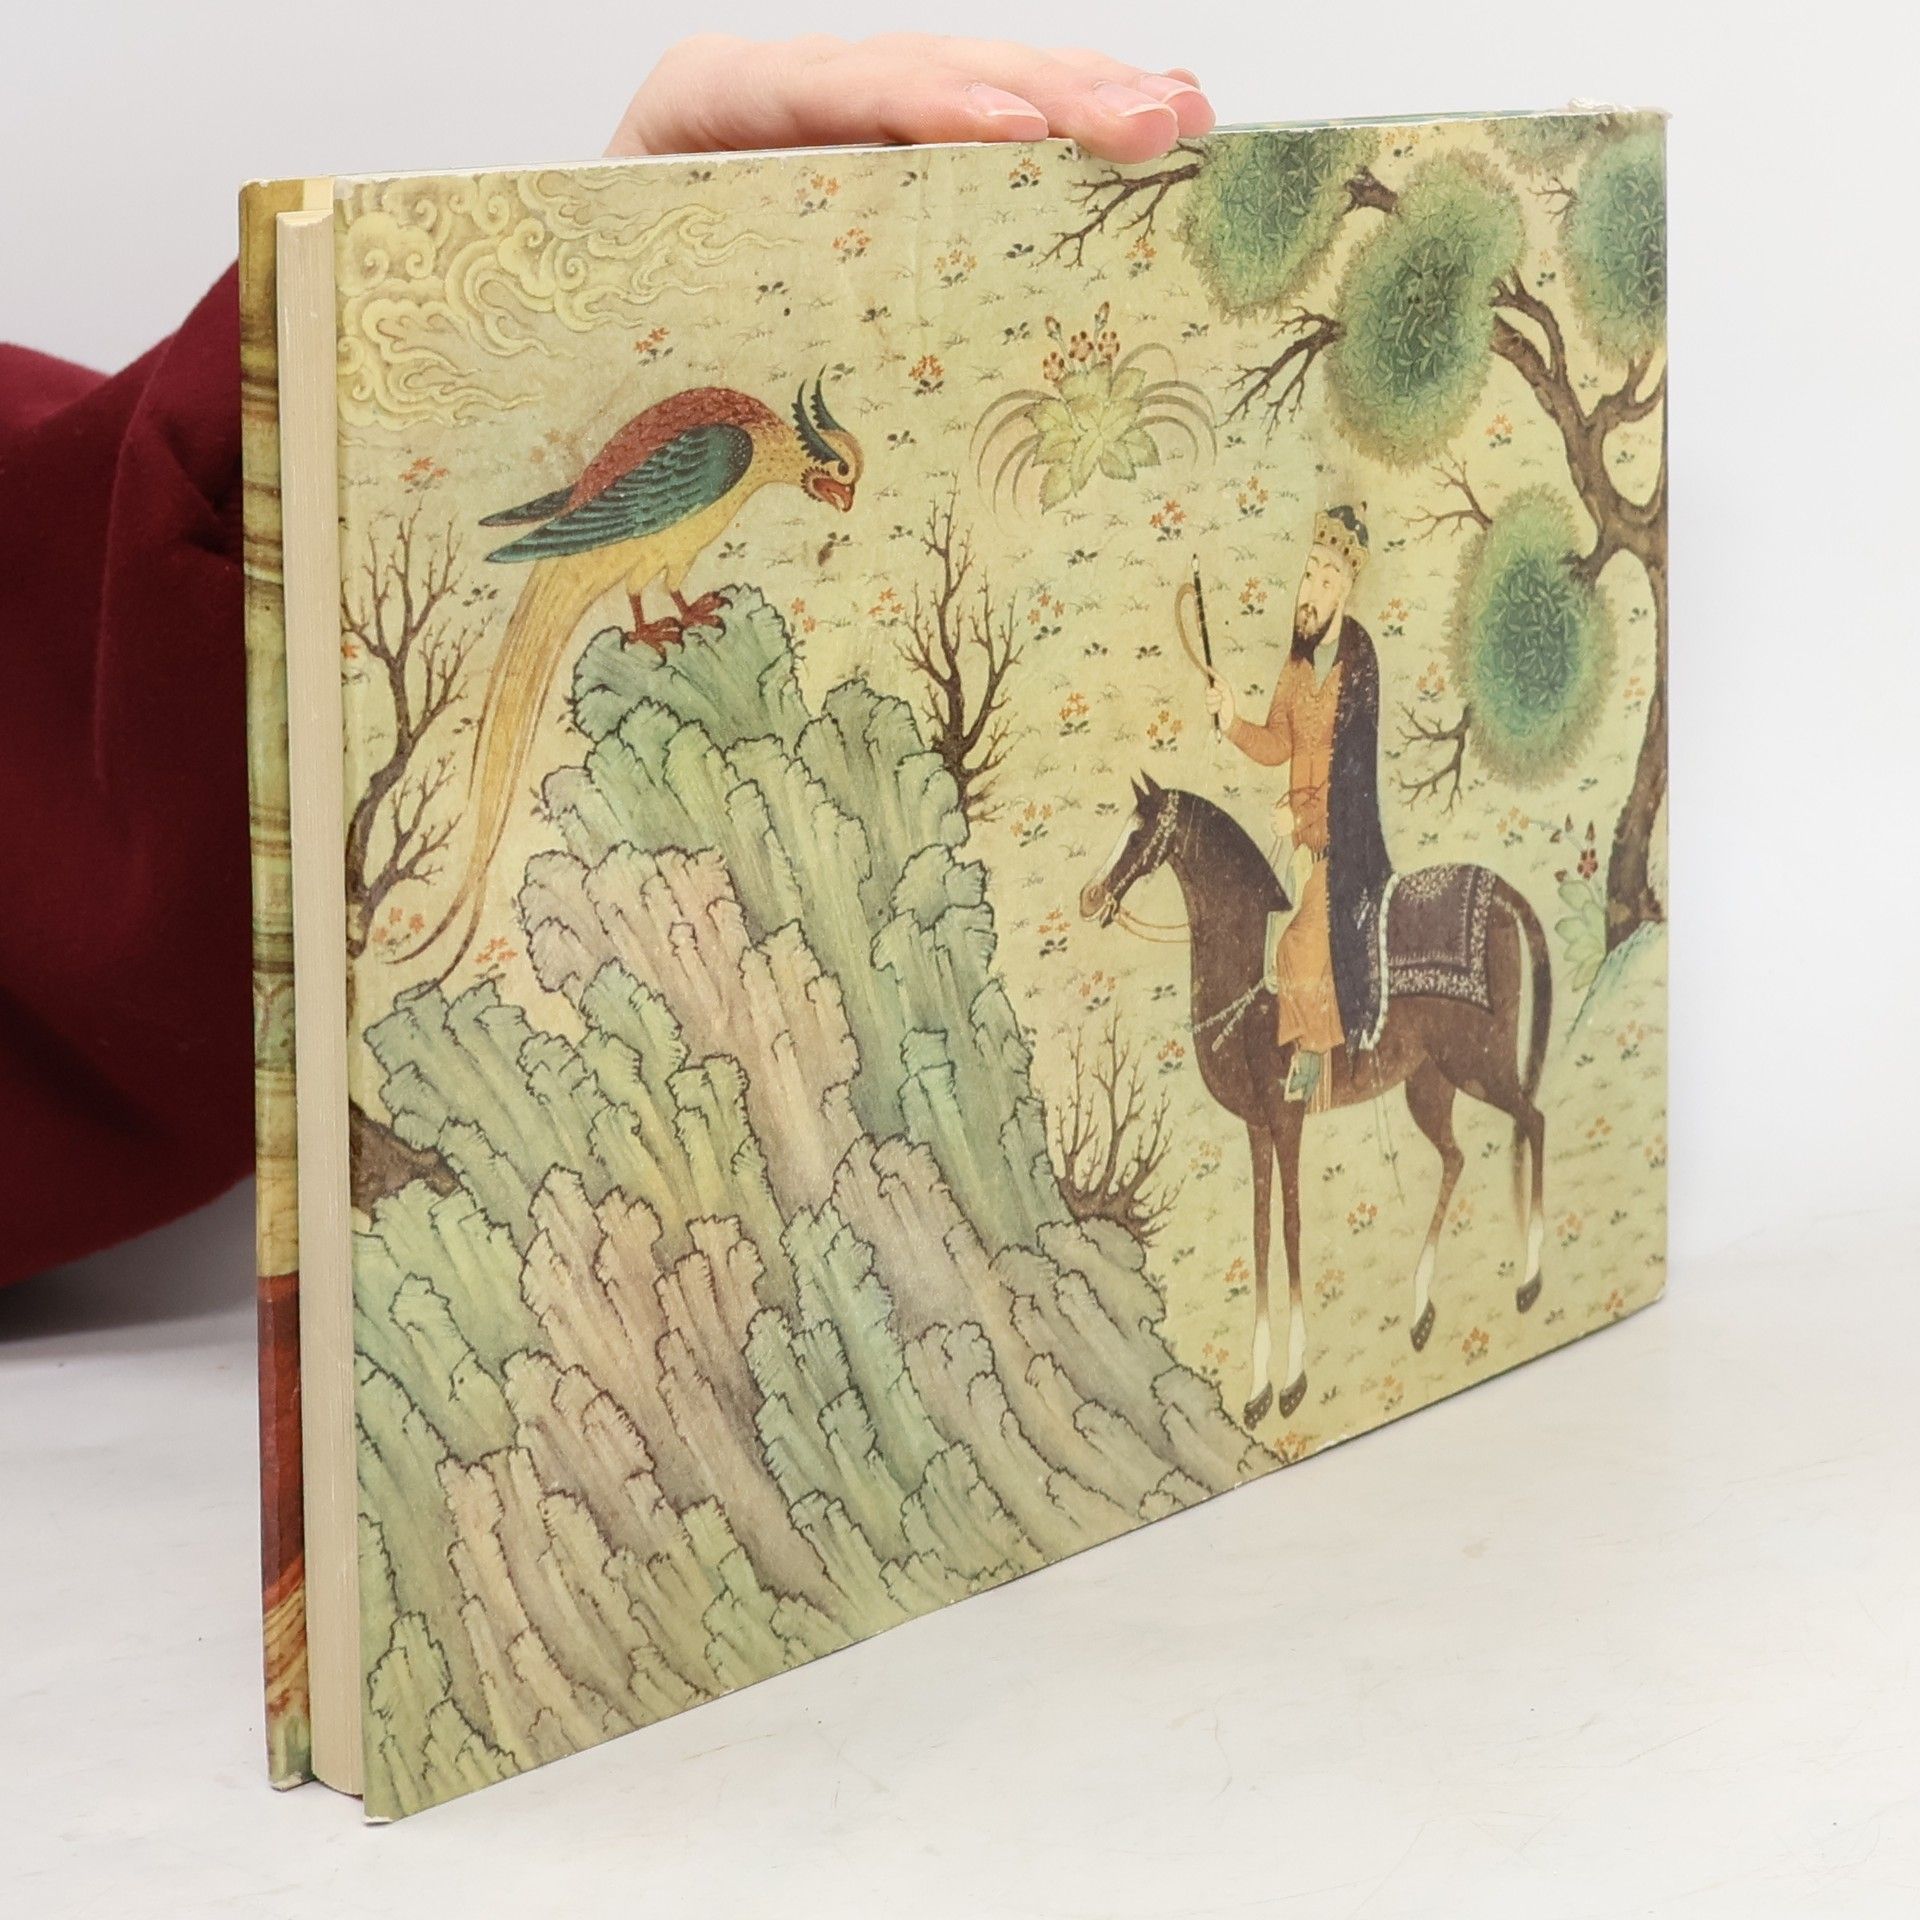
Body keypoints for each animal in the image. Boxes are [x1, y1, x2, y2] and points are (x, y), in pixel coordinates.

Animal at [1078, 773, 1551, 1429]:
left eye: (1138, 832)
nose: (1090, 896)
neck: (1253, 996)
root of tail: (1502, 894)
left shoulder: (1287, 1120)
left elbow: (1292, 1228)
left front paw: (1293, 1380)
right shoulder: (1256, 1129)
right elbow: (1258, 1236)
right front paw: (1256, 1390)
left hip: (1478, 1063)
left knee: (1534, 1119)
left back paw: (1528, 1280)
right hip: (1429, 1084)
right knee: (1458, 1156)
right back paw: (1422, 1310)